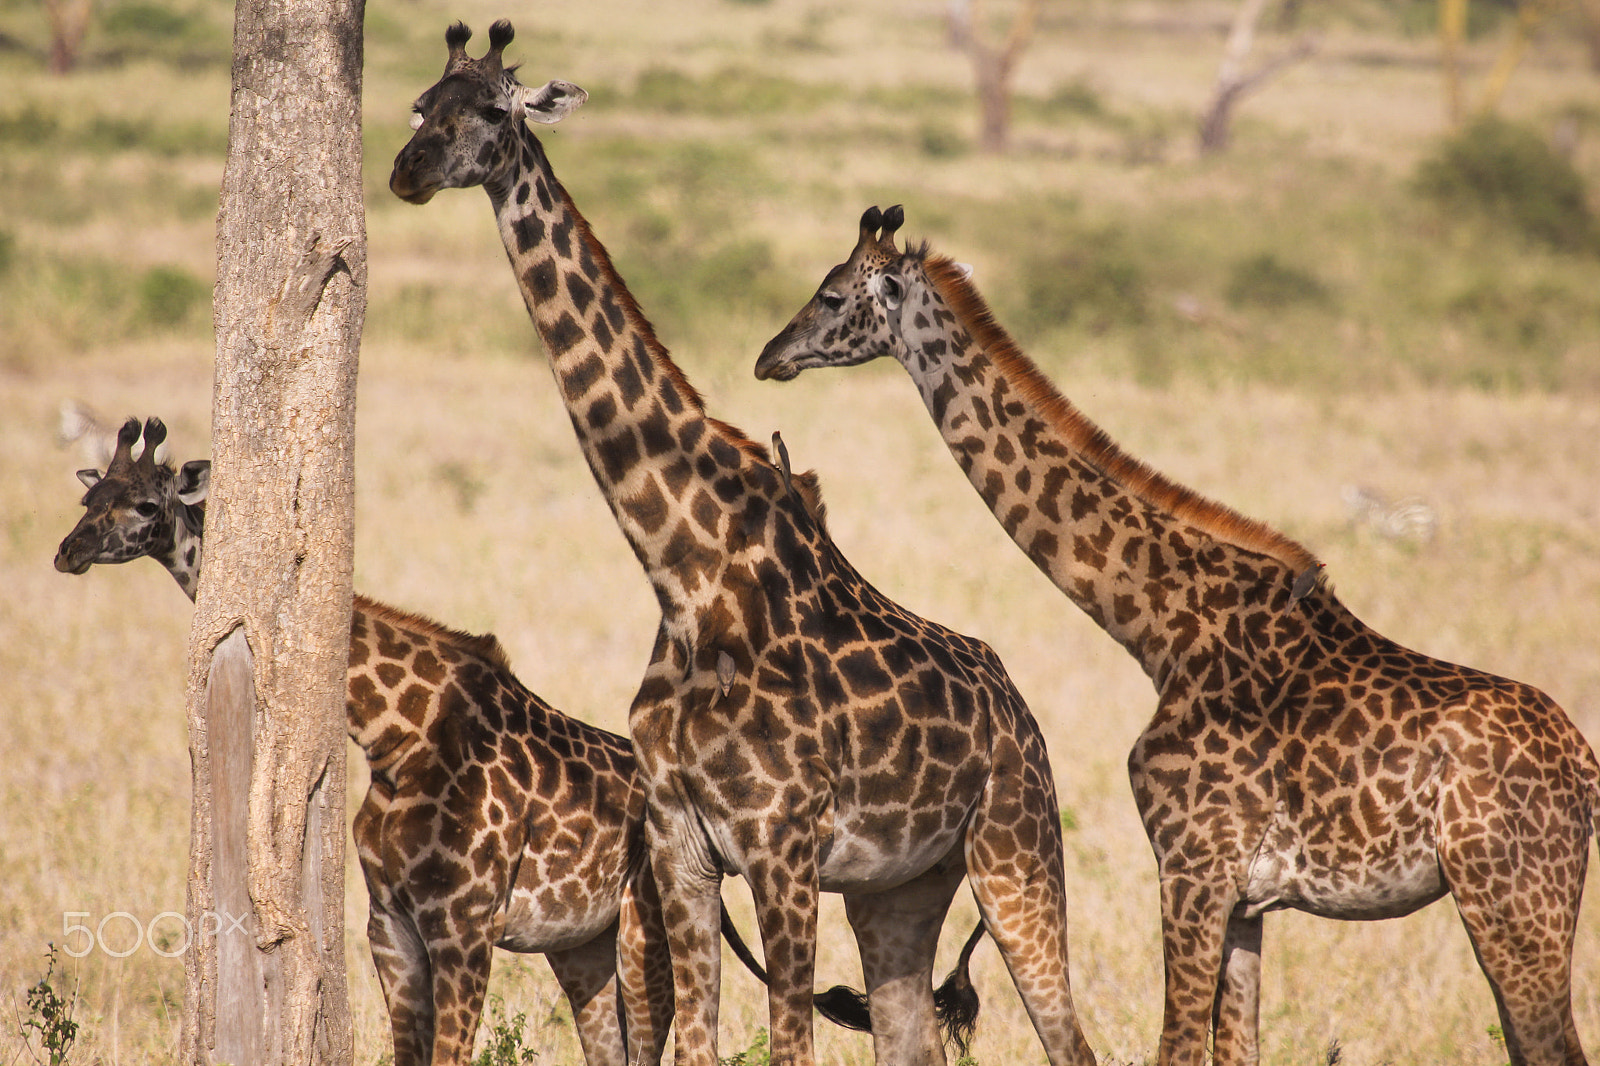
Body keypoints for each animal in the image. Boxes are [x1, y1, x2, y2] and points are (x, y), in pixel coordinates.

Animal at [54, 416, 898, 1066]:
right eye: (90, 497)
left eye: (143, 503)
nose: (68, 552)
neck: (395, 732)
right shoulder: (390, 925)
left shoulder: (463, 924)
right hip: (579, 947)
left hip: (644, 927)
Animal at [391, 22, 1093, 1066]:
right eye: (418, 104)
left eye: (484, 109)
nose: (407, 171)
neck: (686, 573)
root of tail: (1023, 714)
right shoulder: (681, 846)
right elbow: (697, 1042)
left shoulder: (782, 845)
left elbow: (787, 1040)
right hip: (902, 888)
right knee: (911, 1034)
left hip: (1016, 848)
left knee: (1066, 1033)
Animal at [755, 205, 1600, 1066]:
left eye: (831, 295)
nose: (769, 357)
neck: (1162, 627)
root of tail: (1585, 773)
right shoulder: (1247, 902)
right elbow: (1236, 1047)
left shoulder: (1192, 866)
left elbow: (1177, 1044)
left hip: (1510, 898)